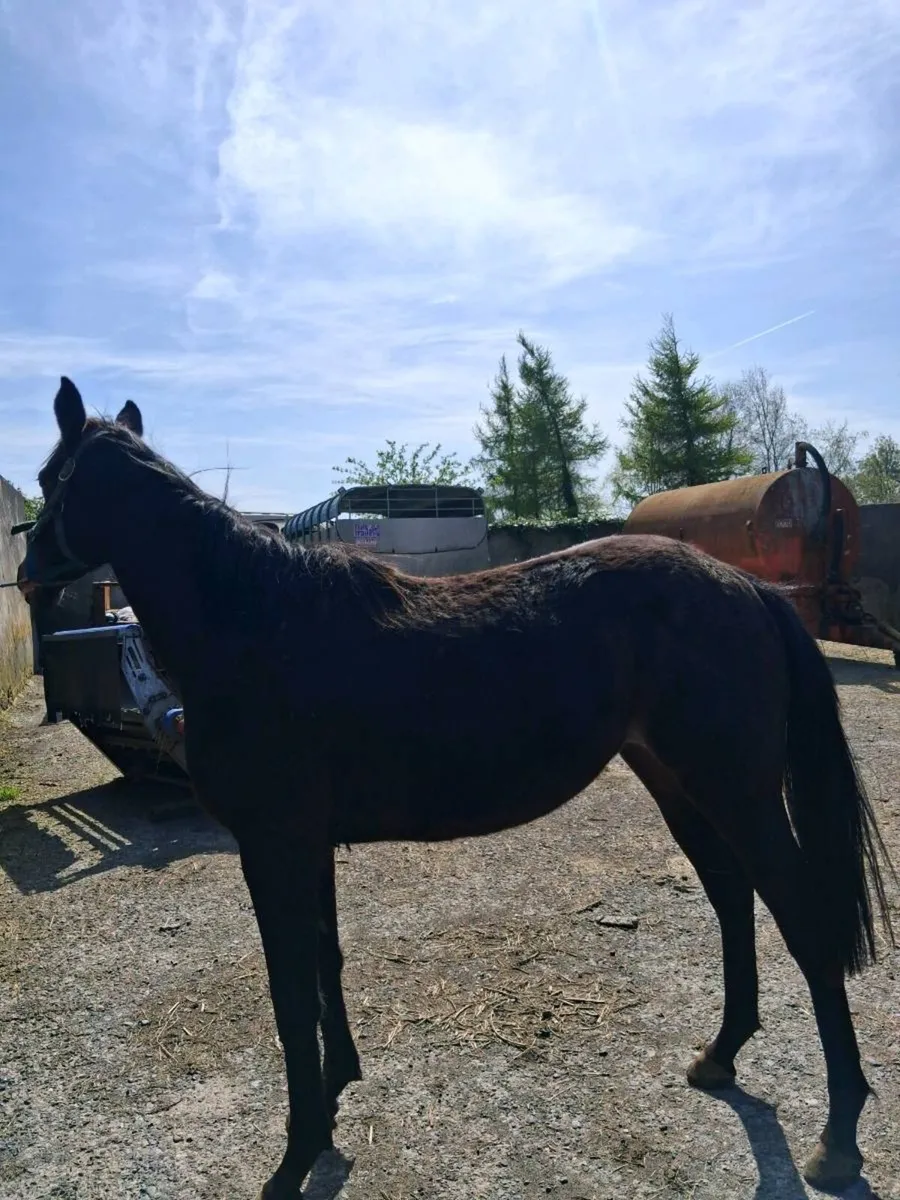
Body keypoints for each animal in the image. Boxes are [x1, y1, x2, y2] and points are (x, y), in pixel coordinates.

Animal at [18, 377, 895, 1198]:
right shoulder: (307, 844)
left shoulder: (272, 846)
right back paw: (722, 1054)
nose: (27, 574)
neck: (253, 624)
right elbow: (325, 962)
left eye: (50, 476)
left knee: (802, 922)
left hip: (737, 791)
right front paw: (334, 1098)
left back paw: (839, 1136)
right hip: (680, 785)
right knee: (731, 899)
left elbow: (290, 995)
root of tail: (749, 591)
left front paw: (295, 1157)